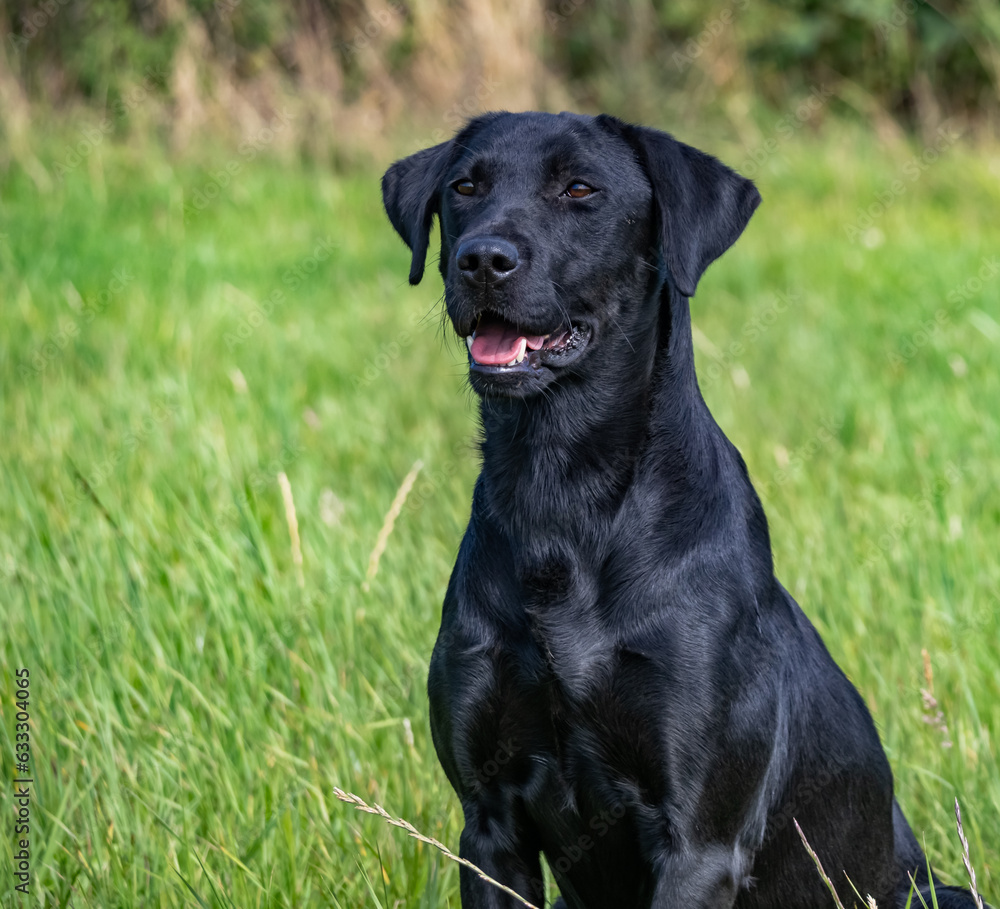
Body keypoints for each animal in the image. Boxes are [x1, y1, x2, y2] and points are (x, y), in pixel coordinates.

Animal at [380, 111, 976, 908]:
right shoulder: (489, 822)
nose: (481, 260)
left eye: (580, 189)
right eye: (465, 187)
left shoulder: (699, 837)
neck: (561, 491)